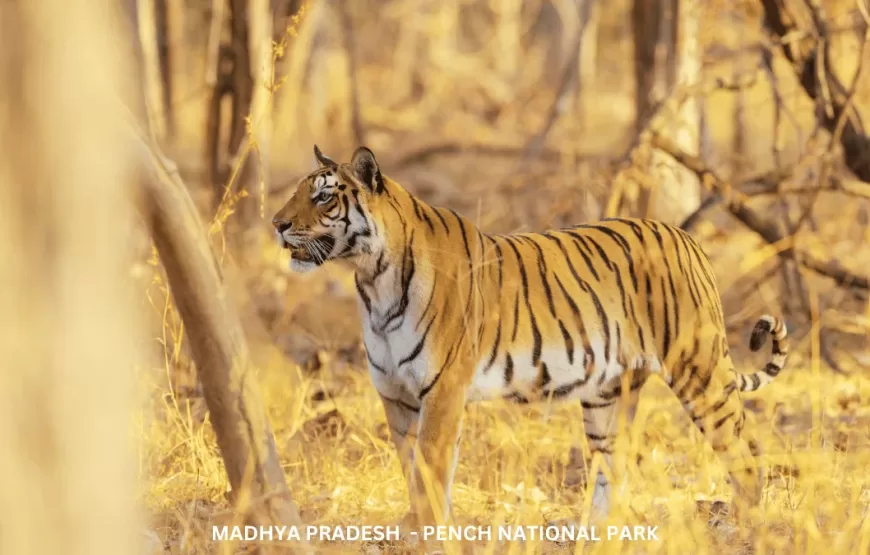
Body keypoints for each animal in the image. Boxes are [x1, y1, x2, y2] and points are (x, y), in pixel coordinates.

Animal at [272, 146, 792, 532]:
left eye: (323, 198)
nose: (276, 223)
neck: (371, 278)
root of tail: (689, 239)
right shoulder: (395, 394)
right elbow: (410, 465)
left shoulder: (442, 390)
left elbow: (429, 469)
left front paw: (426, 533)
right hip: (608, 395)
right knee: (613, 466)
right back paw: (595, 533)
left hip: (699, 371)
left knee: (745, 451)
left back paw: (746, 526)